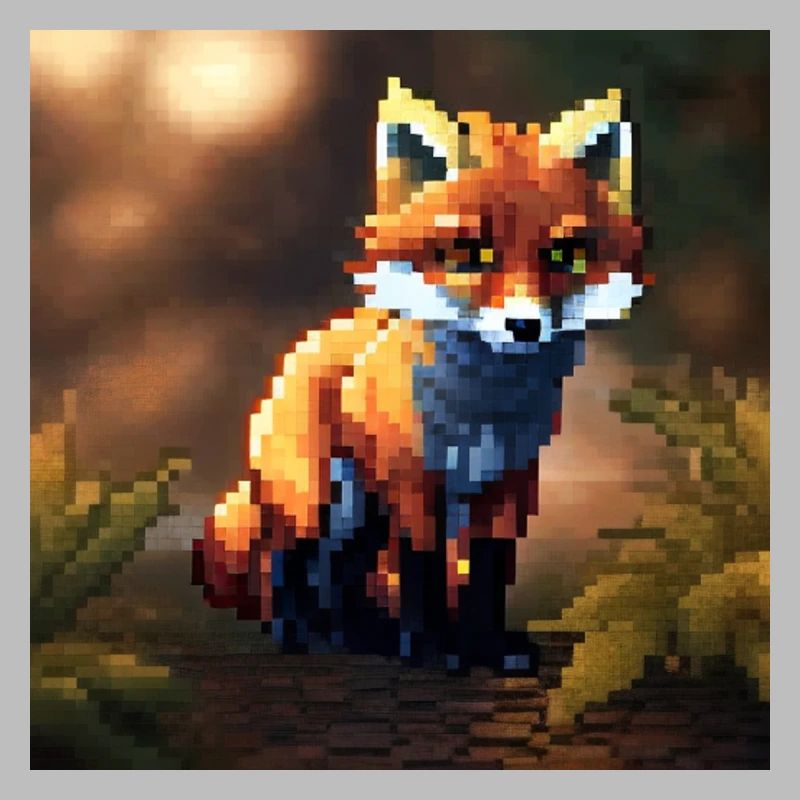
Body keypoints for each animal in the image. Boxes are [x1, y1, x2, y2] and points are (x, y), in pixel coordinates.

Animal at [193, 77, 649, 673]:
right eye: (469, 253)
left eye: (566, 255)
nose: (524, 325)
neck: (484, 409)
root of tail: (303, 345)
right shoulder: (416, 484)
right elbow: (424, 570)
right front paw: (433, 649)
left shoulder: (508, 486)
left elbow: (488, 575)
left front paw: (486, 647)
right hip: (317, 500)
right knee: (288, 561)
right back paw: (298, 632)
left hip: (363, 514)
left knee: (341, 575)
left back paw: (358, 635)